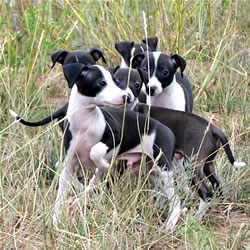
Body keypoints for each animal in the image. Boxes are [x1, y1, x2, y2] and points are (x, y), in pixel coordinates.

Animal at [51, 63, 180, 230]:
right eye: (101, 83)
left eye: (115, 81)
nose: (126, 97)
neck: (85, 123)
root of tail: (169, 131)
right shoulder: (68, 166)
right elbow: (59, 199)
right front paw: (55, 222)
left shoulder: (116, 135)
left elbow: (95, 150)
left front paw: (104, 165)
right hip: (151, 171)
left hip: (163, 169)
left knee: (176, 201)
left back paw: (169, 225)